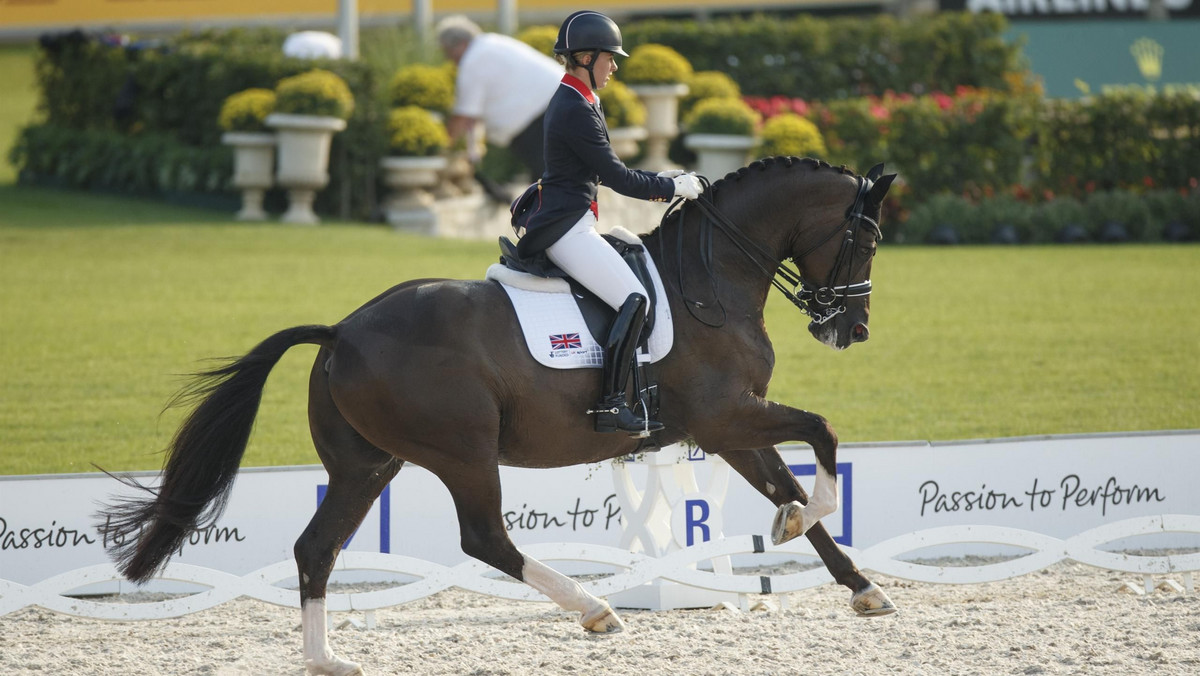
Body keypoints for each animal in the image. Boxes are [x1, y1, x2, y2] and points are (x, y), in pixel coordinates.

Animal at [100, 157, 892, 672]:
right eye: (869, 238)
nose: (850, 330)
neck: (710, 280)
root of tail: (343, 331)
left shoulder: (729, 425)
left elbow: (790, 485)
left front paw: (860, 586)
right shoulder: (726, 417)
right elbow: (822, 434)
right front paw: (804, 522)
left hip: (367, 464)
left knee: (316, 548)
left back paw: (328, 659)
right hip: (464, 452)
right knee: (484, 537)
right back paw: (592, 609)